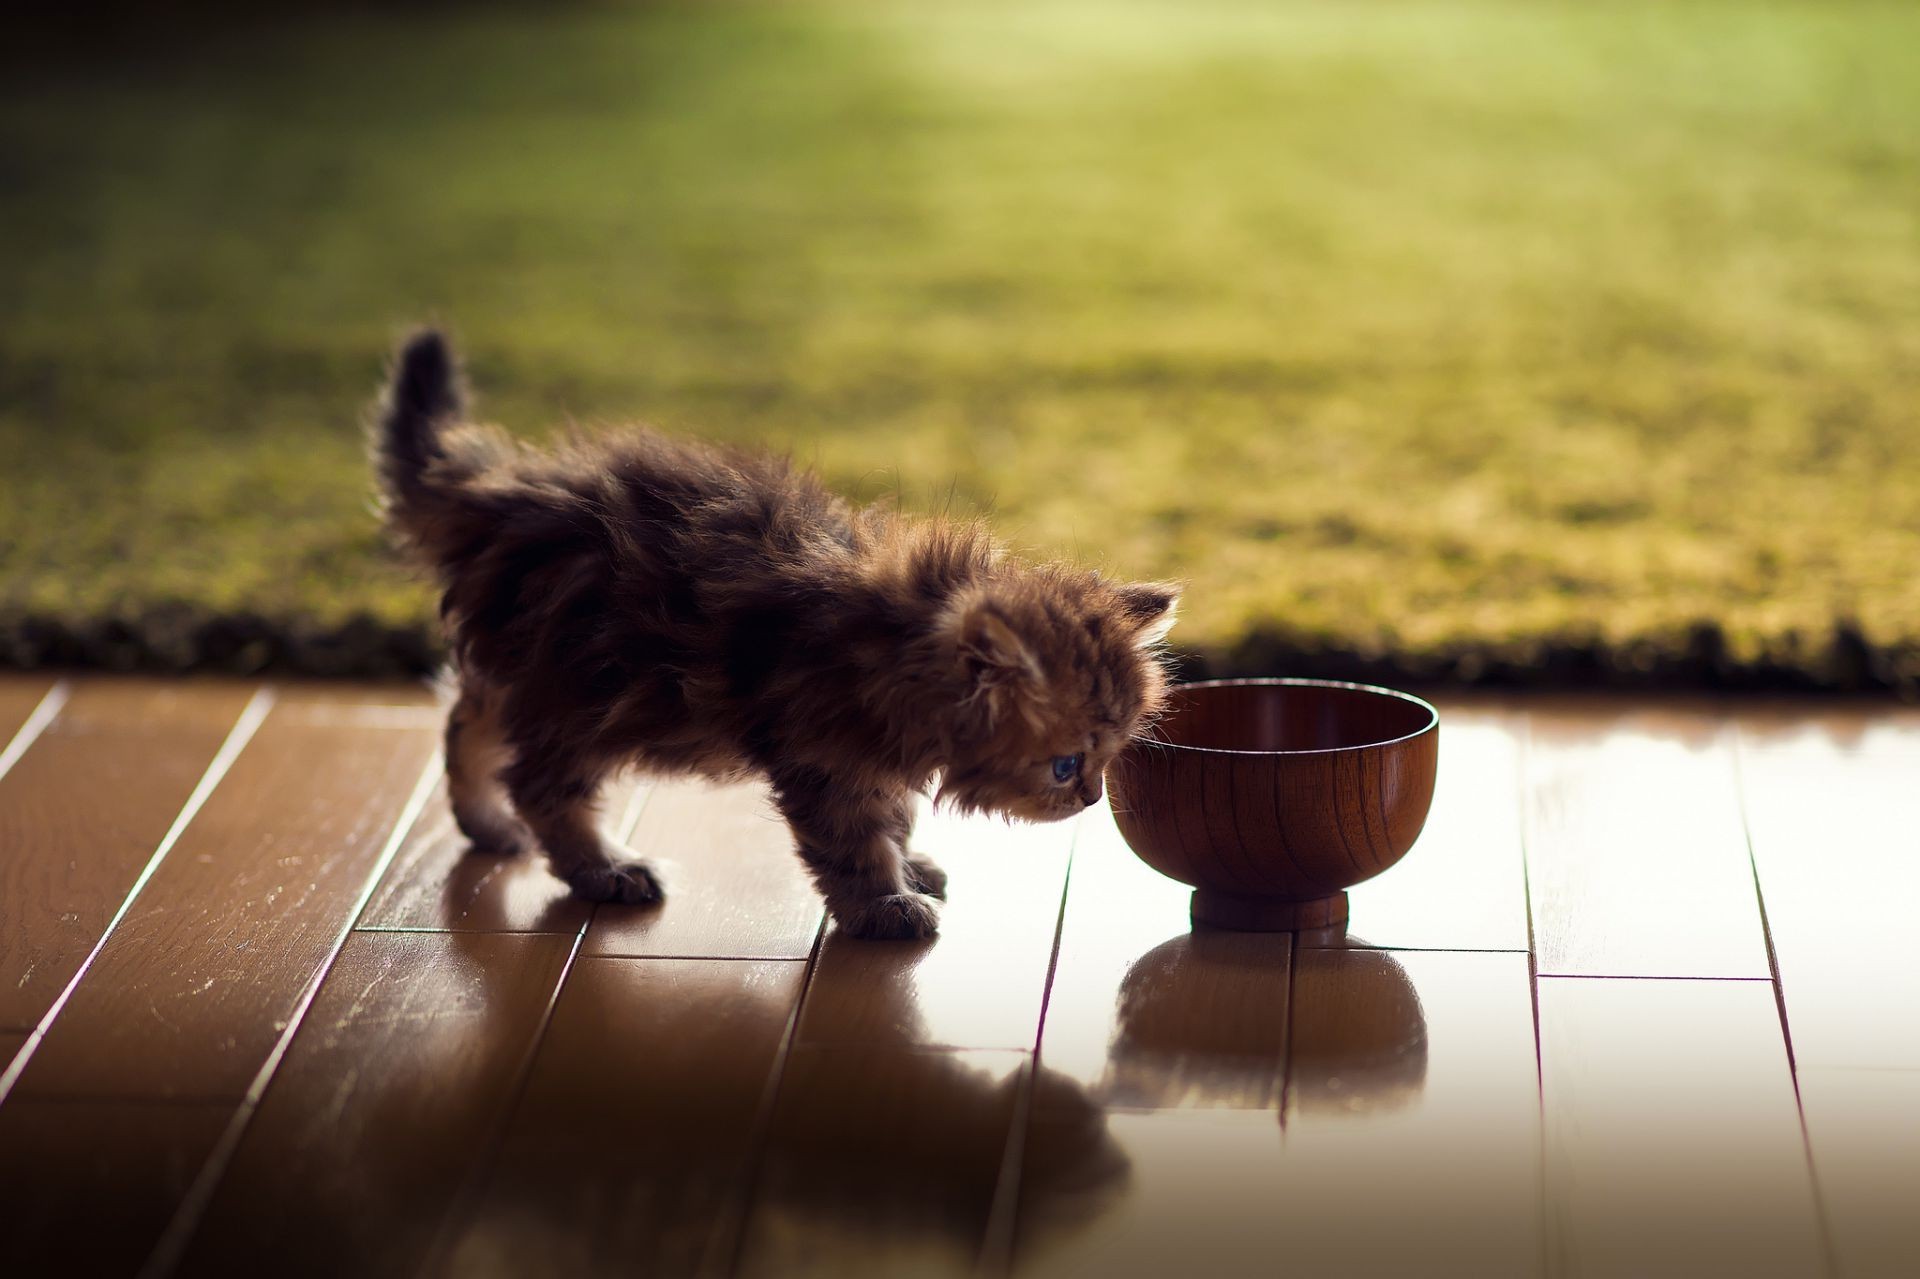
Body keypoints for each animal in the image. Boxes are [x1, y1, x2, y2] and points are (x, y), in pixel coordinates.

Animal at [368, 330, 1175, 937]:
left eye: (1109, 757)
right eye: (1065, 765)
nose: (1091, 799)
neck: (900, 643)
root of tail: (501, 491)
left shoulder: (873, 756)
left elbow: (895, 815)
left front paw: (910, 865)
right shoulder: (823, 758)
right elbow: (854, 845)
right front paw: (885, 906)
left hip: (533, 670)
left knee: (466, 718)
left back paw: (485, 824)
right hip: (584, 691)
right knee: (542, 785)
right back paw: (606, 868)